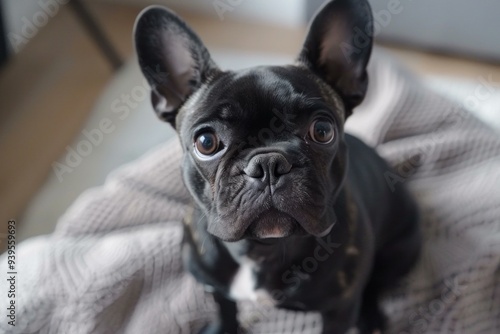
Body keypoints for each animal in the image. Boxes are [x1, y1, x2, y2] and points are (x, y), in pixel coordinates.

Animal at [135, 1, 420, 332]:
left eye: (322, 130)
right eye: (206, 142)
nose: (268, 163)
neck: (262, 250)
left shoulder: (339, 309)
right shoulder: (214, 287)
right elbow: (225, 309)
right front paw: (222, 327)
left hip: (401, 252)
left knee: (373, 284)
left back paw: (371, 318)